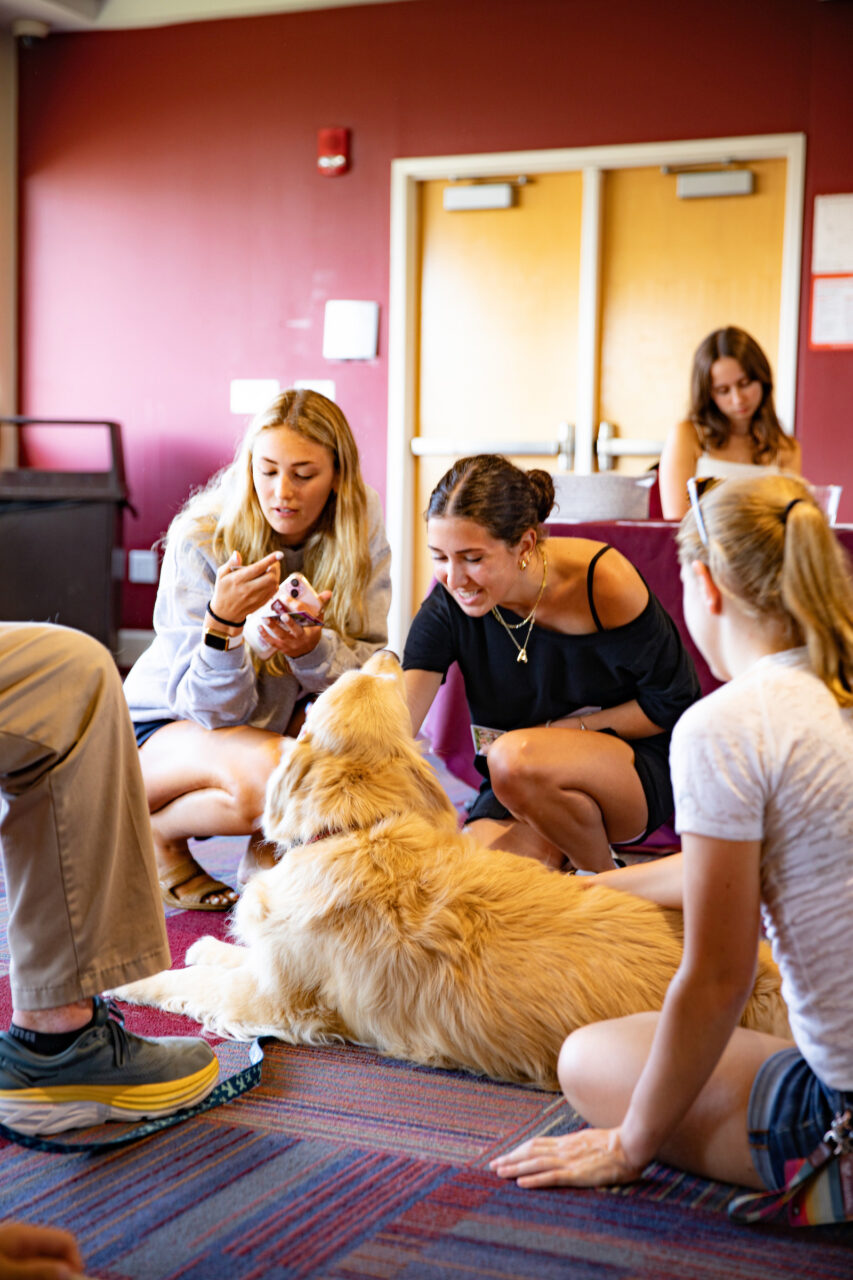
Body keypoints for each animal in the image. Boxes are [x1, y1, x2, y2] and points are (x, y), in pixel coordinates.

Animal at [111, 655, 783, 1085]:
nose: (390, 648)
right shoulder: (273, 967)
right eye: (372, 678)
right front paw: (203, 945)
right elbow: (222, 957)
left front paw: (133, 982)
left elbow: (186, 984)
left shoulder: (274, 1002)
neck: (356, 829)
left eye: (348, 681)